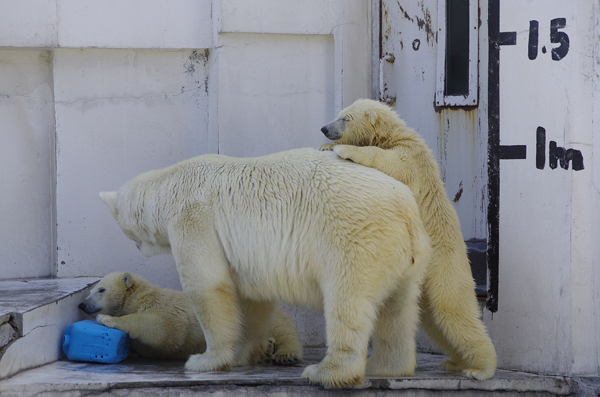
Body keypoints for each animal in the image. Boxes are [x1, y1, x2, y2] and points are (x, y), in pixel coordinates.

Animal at [79, 270, 302, 364]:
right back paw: (267, 349)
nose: (82, 304)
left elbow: (166, 330)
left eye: (101, 289)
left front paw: (107, 319)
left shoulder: (164, 306)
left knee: (283, 330)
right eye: (92, 290)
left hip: (258, 315)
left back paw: (284, 353)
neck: (140, 297)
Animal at [102, 146, 432, 386]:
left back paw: (327, 373)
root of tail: (405, 209)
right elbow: (252, 301)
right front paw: (240, 354)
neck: (170, 184)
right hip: (407, 255)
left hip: (353, 236)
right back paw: (387, 367)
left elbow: (208, 286)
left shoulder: (194, 219)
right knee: (399, 308)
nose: (137, 248)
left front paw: (205, 360)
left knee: (347, 300)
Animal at [318, 97, 496, 378]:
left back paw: (480, 369)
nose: (325, 129)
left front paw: (344, 150)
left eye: (346, 117)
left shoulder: (410, 157)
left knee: (453, 309)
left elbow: (392, 164)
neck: (392, 134)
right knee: (435, 320)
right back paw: (455, 362)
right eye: (339, 113)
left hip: (444, 266)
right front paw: (325, 146)